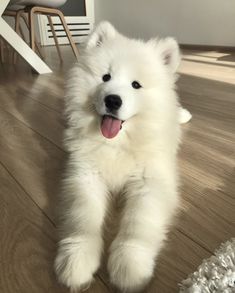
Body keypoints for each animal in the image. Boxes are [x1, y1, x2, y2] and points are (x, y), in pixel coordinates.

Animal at [54, 21, 191, 290]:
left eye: (136, 85)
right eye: (105, 77)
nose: (113, 100)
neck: (117, 144)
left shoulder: (150, 182)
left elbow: (138, 224)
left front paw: (130, 268)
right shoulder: (85, 175)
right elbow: (82, 218)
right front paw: (76, 260)